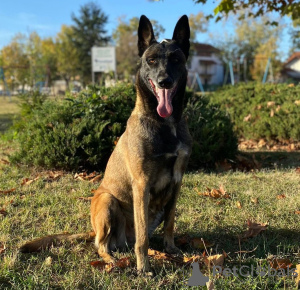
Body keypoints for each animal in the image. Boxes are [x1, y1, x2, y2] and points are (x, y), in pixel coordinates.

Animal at [89, 14, 192, 272]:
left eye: (176, 60)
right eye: (151, 60)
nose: (164, 81)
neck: (165, 123)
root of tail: (121, 240)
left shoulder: (177, 182)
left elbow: (170, 222)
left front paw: (170, 248)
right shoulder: (142, 184)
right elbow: (143, 237)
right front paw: (143, 266)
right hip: (107, 201)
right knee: (101, 245)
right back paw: (112, 260)